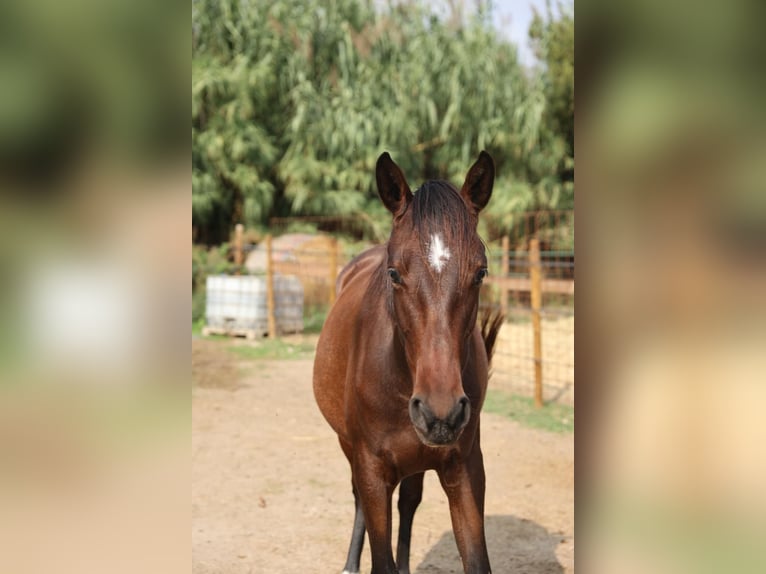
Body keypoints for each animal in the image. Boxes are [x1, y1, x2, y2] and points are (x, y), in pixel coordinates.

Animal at [313, 151, 503, 574]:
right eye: (394, 273)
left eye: (480, 272)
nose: (440, 412)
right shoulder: (371, 467)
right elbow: (380, 555)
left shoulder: (465, 468)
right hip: (350, 448)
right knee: (359, 500)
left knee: (409, 502)